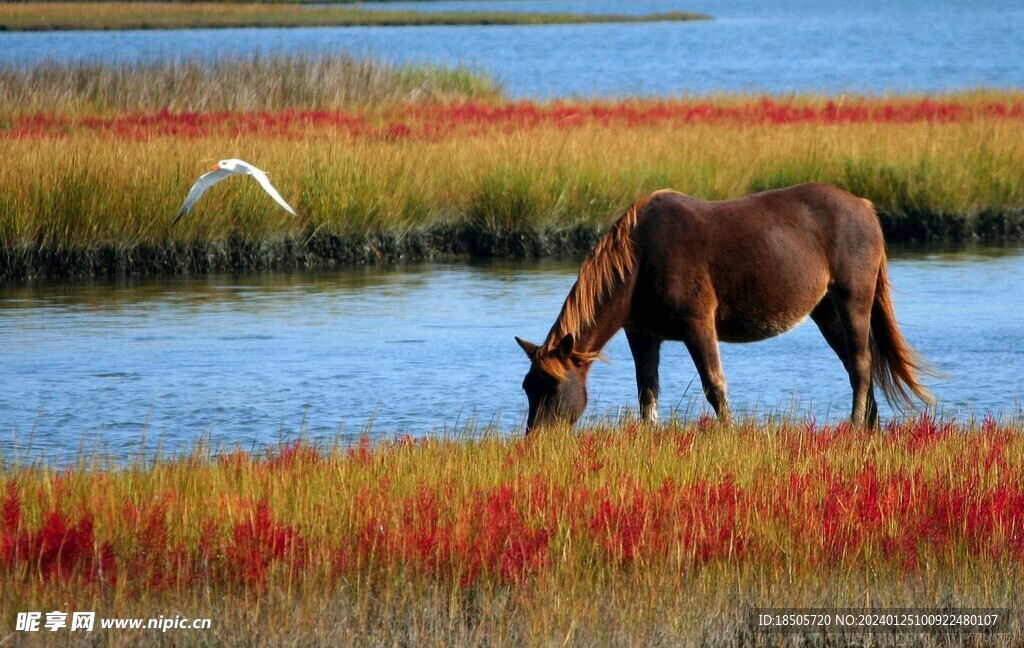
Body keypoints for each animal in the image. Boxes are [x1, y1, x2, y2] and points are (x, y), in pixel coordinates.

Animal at [516, 184, 933, 432]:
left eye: (552, 388)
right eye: (527, 387)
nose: (536, 440)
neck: (639, 259)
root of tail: (865, 208)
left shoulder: (698, 324)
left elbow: (715, 385)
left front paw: (728, 433)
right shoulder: (642, 334)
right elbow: (647, 392)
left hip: (853, 302)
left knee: (861, 366)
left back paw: (855, 426)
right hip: (826, 312)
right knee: (856, 366)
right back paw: (868, 426)